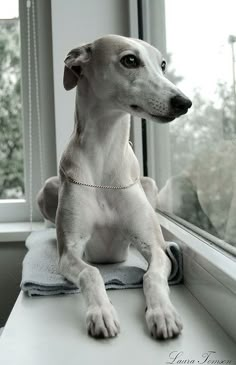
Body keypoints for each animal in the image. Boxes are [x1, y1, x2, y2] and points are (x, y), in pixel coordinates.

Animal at [37, 34, 192, 338]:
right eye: (129, 60)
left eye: (162, 64)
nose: (184, 102)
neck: (103, 160)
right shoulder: (70, 253)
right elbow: (91, 272)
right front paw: (101, 312)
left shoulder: (156, 249)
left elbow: (152, 275)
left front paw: (163, 312)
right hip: (47, 188)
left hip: (148, 183)